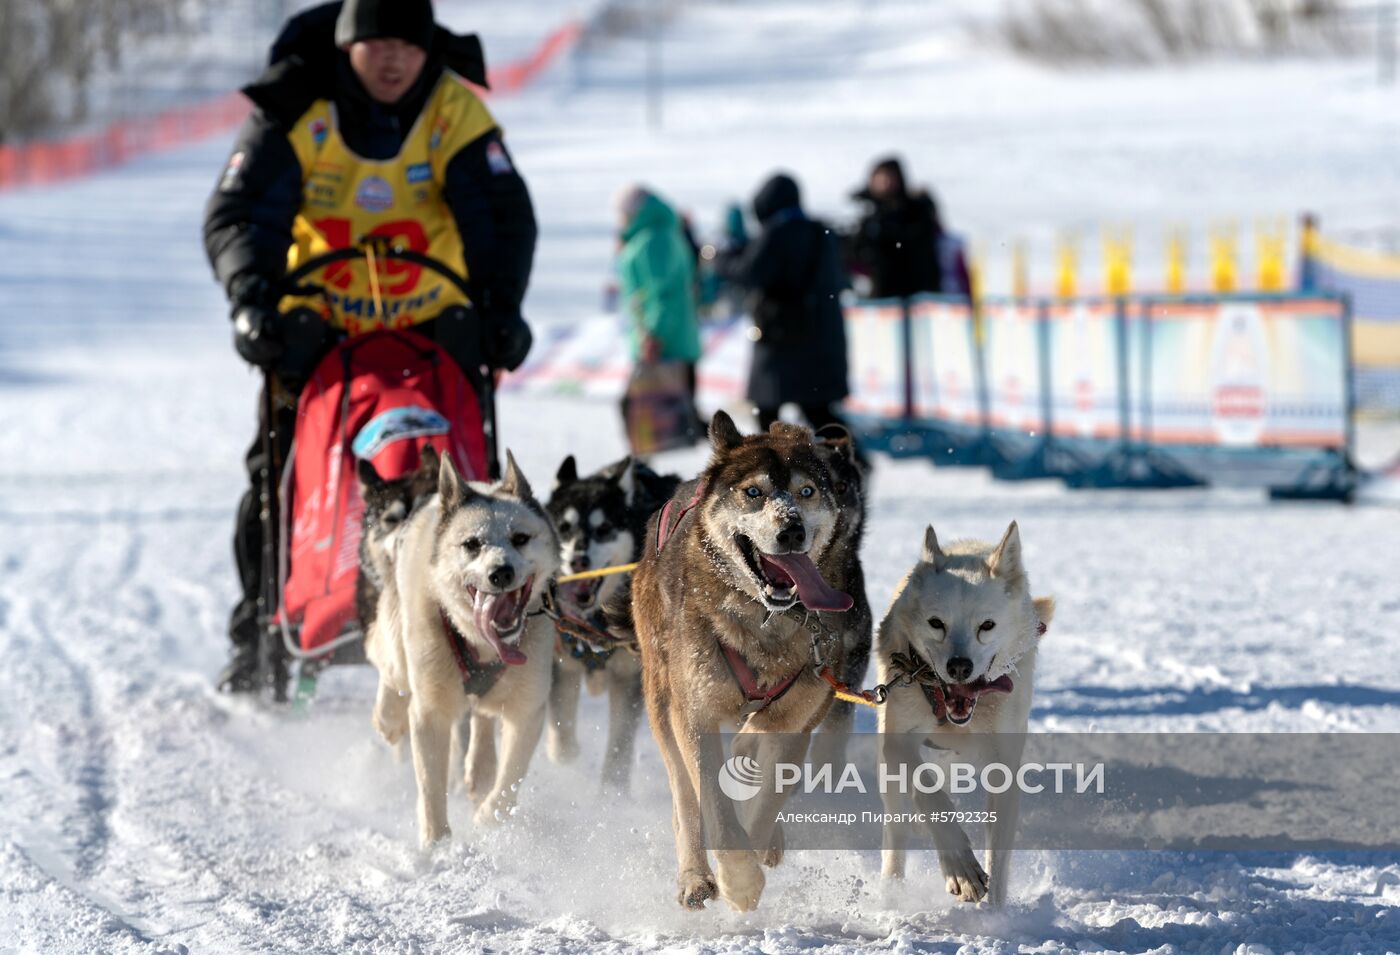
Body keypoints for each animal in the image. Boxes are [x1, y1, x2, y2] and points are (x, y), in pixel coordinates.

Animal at [369, 450, 560, 845]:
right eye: (472, 544)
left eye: (520, 538)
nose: (500, 572)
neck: (484, 646)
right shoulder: (430, 710)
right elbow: (430, 785)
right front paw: (436, 843)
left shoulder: (527, 709)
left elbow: (510, 779)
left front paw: (489, 816)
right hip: (400, 640)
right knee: (389, 668)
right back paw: (388, 717)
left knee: (483, 719)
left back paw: (480, 768)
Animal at [630, 411, 856, 912]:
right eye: (754, 492)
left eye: (806, 491)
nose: (791, 529)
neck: (762, 621)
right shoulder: (695, 714)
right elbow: (713, 802)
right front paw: (739, 879)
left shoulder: (794, 722)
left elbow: (766, 799)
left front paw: (755, 849)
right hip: (662, 699)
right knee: (685, 799)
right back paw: (695, 876)